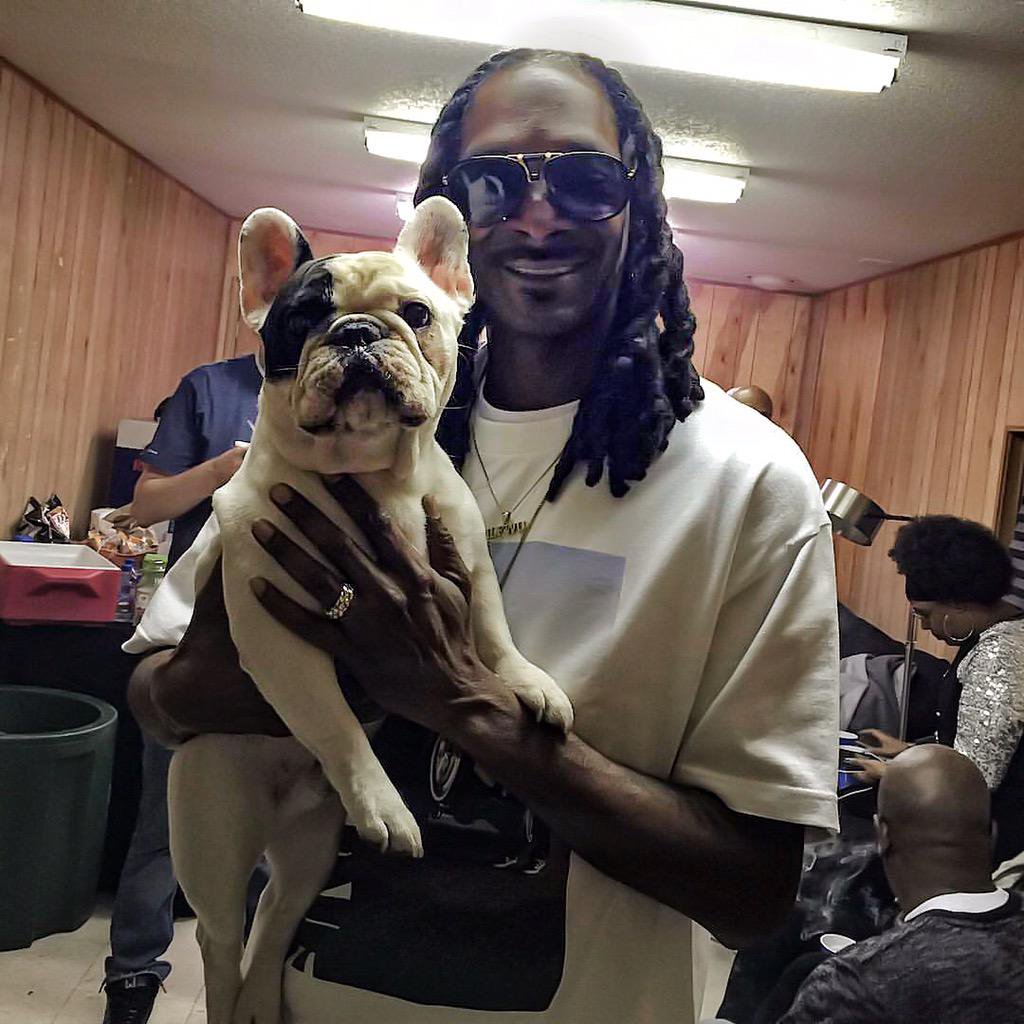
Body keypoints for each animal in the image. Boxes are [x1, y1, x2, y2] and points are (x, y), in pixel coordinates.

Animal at [163, 197, 573, 1024]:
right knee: (222, 939)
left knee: (277, 914)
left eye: (416, 313)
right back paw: (231, 996)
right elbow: (334, 721)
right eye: (300, 320)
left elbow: (491, 631)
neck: (374, 478)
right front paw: (386, 803)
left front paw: (528, 681)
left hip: (312, 847)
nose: (356, 332)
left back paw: (261, 996)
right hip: (209, 826)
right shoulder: (275, 627)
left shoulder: (468, 559)